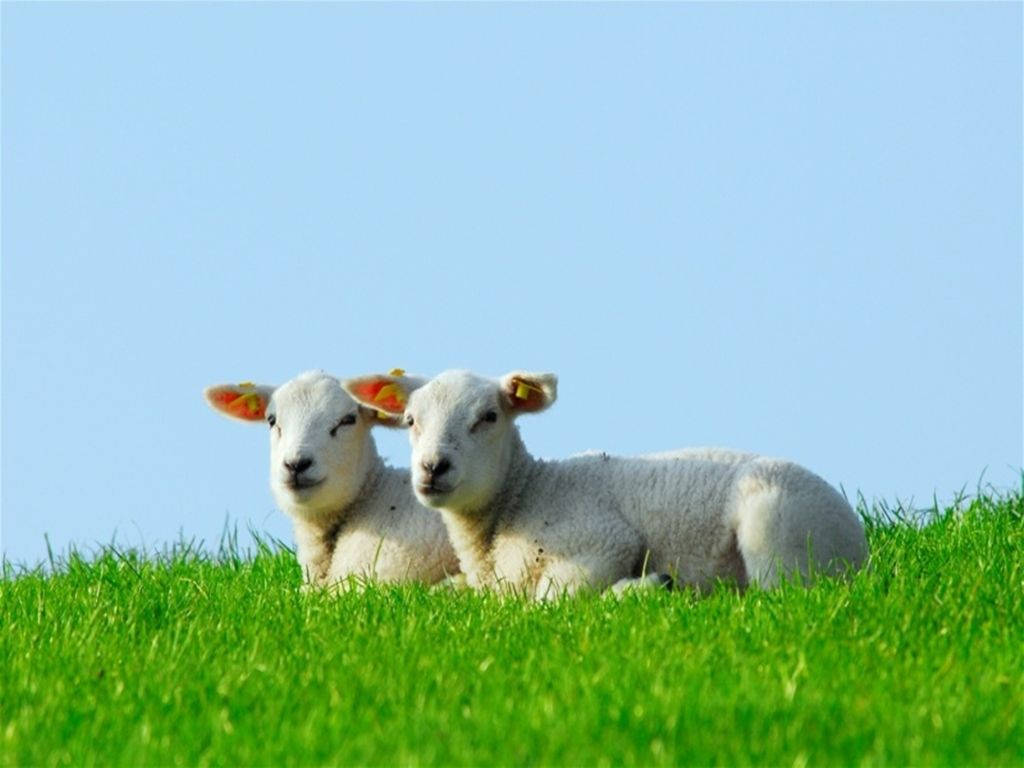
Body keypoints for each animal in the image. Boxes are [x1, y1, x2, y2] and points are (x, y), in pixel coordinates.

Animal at [342, 369, 869, 599]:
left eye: (488, 417)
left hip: (776, 529)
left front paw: (635, 588)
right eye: (410, 421)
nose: (432, 468)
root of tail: (858, 543)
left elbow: (548, 603)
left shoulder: (602, 541)